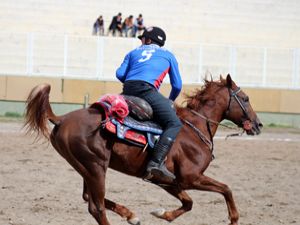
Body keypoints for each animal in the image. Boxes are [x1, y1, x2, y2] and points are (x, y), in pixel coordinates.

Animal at [24, 75, 262, 225]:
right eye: (246, 98)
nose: (258, 124)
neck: (194, 129)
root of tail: (62, 118)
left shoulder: (168, 181)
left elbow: (188, 202)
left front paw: (162, 214)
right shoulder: (191, 178)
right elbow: (226, 189)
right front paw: (234, 219)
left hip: (86, 168)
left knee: (88, 198)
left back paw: (131, 215)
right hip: (96, 168)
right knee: (96, 207)